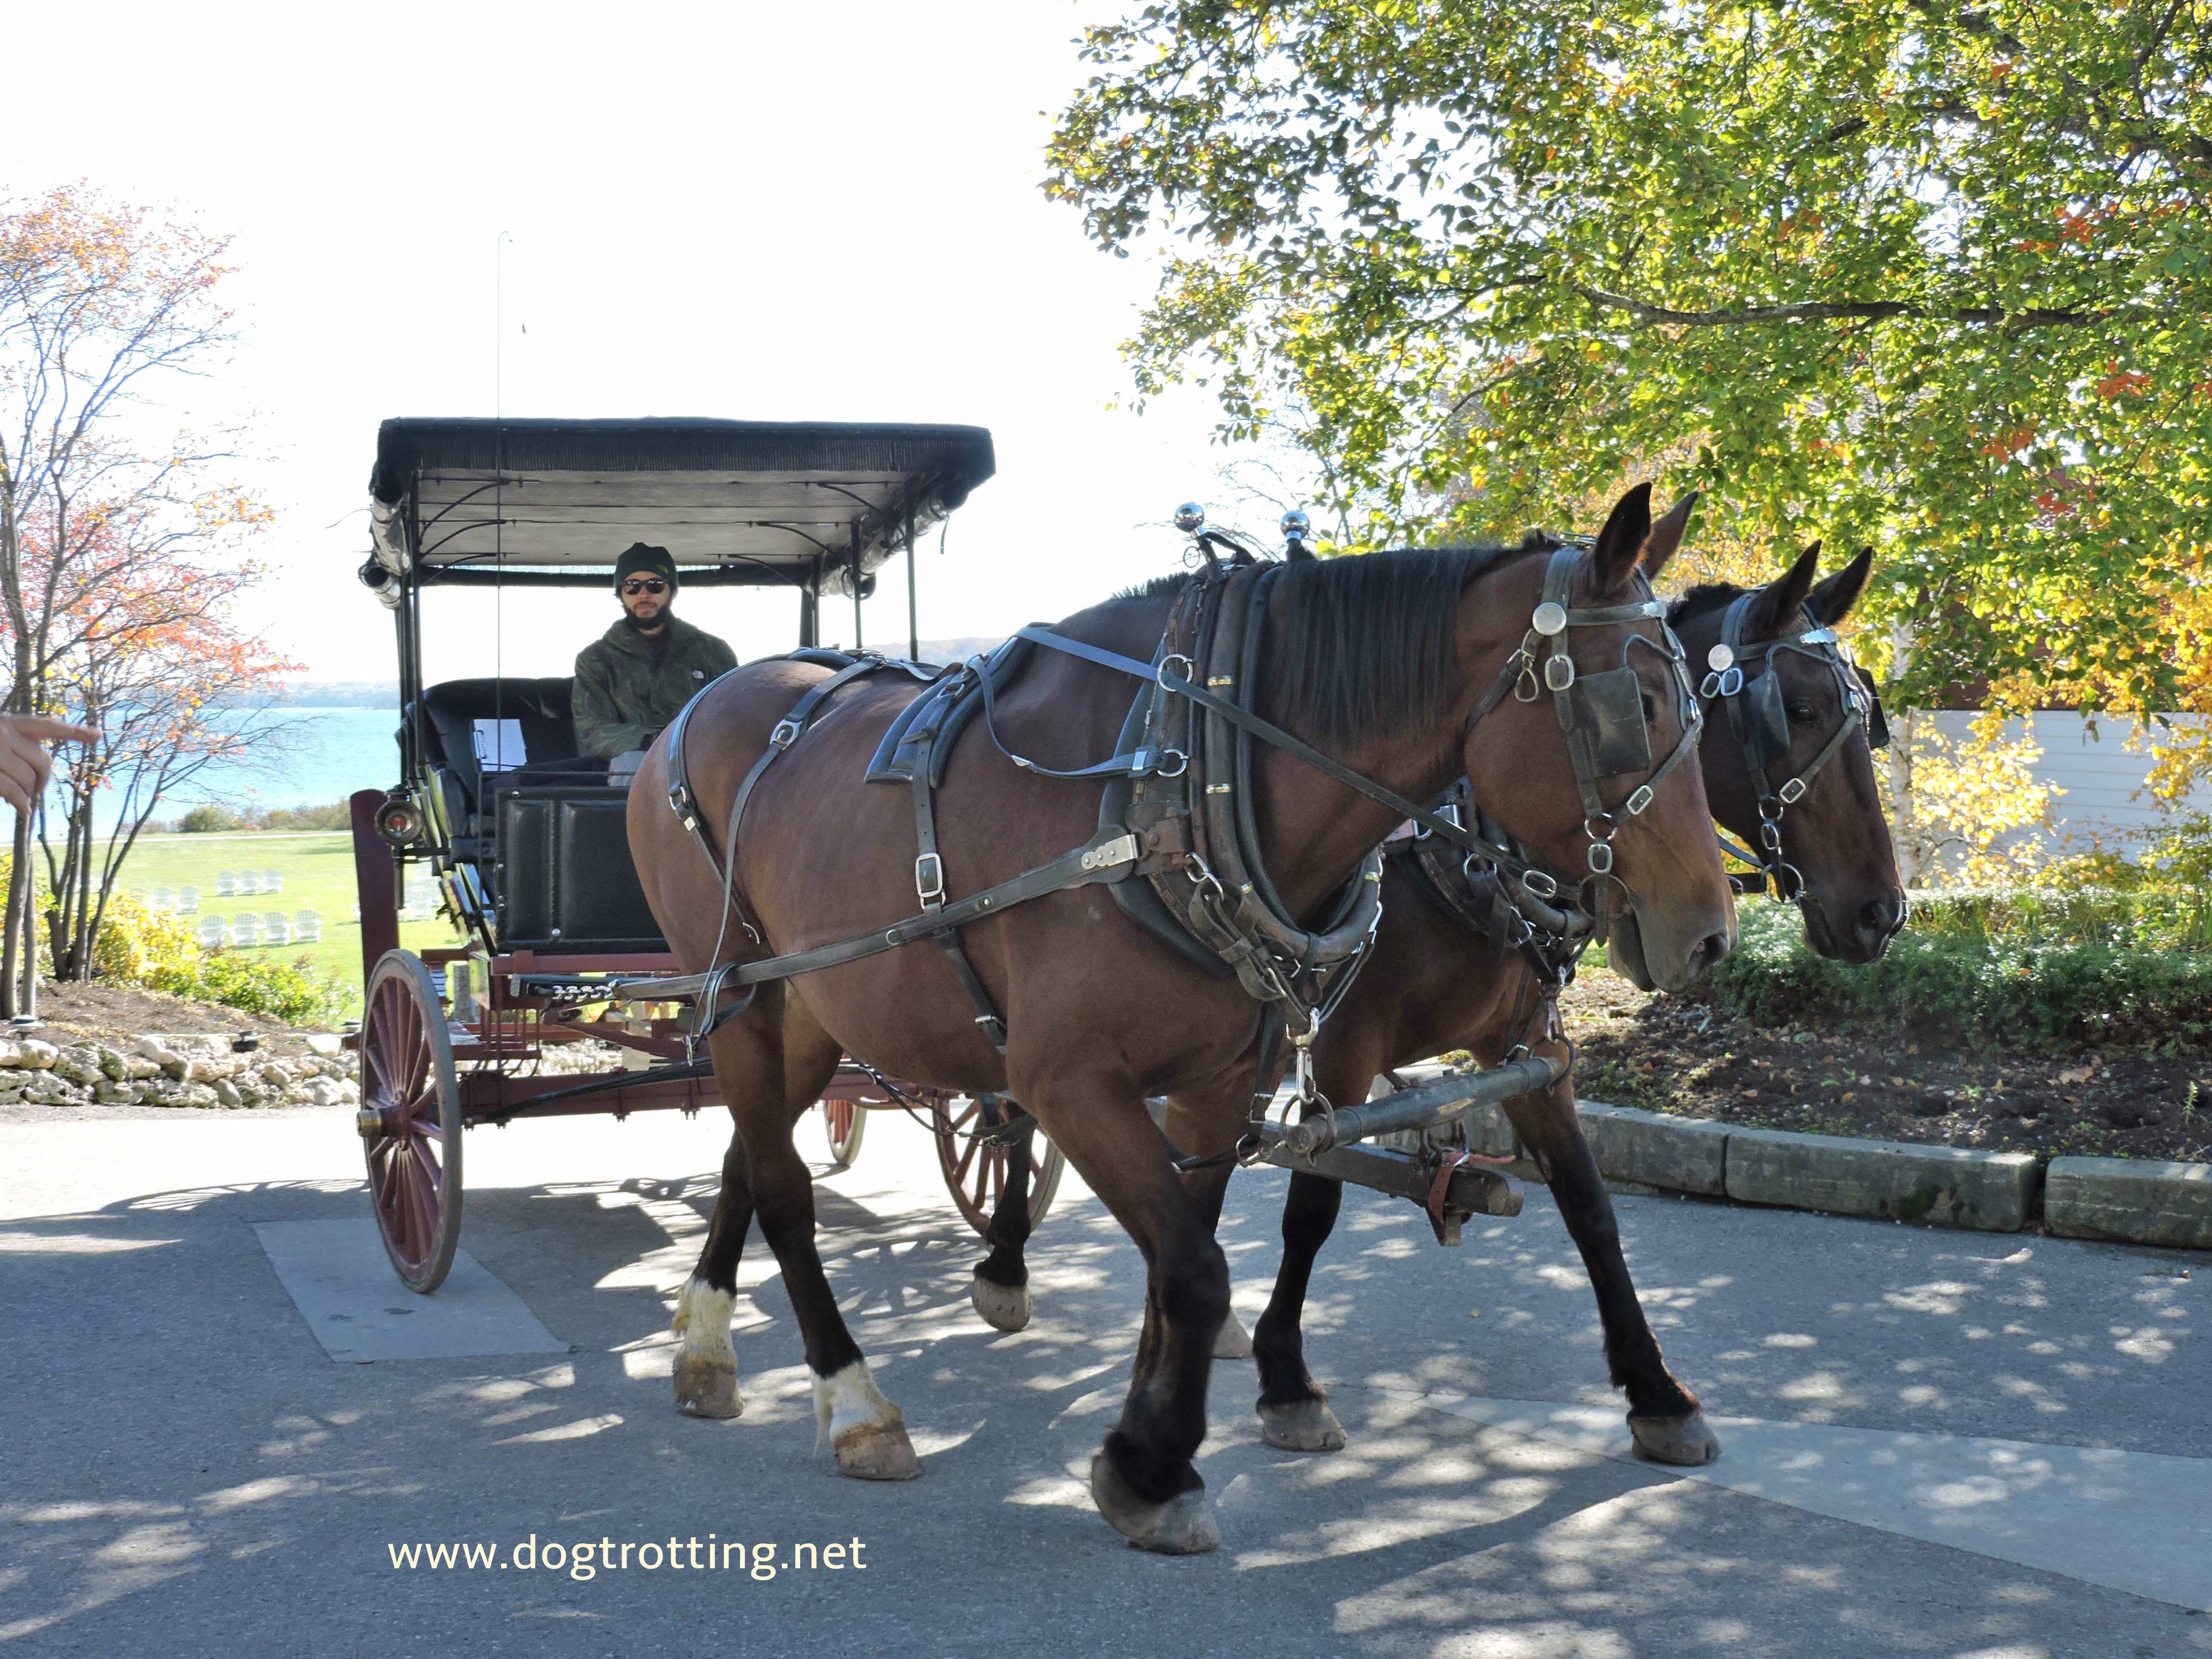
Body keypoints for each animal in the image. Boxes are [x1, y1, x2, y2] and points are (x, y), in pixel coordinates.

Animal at [628, 482, 1736, 1552]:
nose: (1713, 937)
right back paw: (856, 1401)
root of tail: (693, 713)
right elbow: (1205, 1265)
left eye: (1701, 707)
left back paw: (706, 1347)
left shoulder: (1231, 1079)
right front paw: (1162, 1465)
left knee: (750, 1153)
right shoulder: (1078, 1083)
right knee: (784, 1186)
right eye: (1636, 704)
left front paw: (1146, 1437)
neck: (1172, 784)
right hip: (734, 993)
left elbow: (1187, 1261)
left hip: (813, 1008)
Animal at [965, 542, 1904, 1469]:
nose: (1881, 913)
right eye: (1799, 709)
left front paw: (1657, 1393)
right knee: (1014, 1113)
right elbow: (1311, 1210)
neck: (1469, 847)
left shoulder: (1524, 1049)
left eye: (1868, 714)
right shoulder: (1338, 1049)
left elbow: (1590, 1205)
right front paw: (1288, 1381)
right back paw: (1007, 1259)